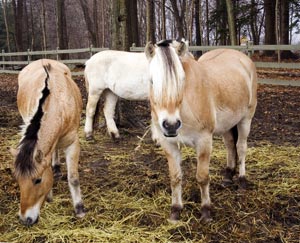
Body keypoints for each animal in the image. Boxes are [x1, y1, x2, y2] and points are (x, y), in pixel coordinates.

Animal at [12, 59, 85, 226]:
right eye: (18, 180)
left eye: (37, 180)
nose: (25, 219)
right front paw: (50, 196)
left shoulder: (73, 144)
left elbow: (73, 178)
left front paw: (79, 209)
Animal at [144, 40, 256, 223]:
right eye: (152, 81)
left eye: (182, 80)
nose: (171, 125)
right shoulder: (168, 144)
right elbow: (175, 177)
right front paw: (175, 211)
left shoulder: (204, 141)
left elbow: (202, 177)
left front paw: (206, 212)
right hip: (226, 126)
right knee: (230, 146)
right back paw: (228, 176)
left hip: (246, 120)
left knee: (241, 148)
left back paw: (241, 181)